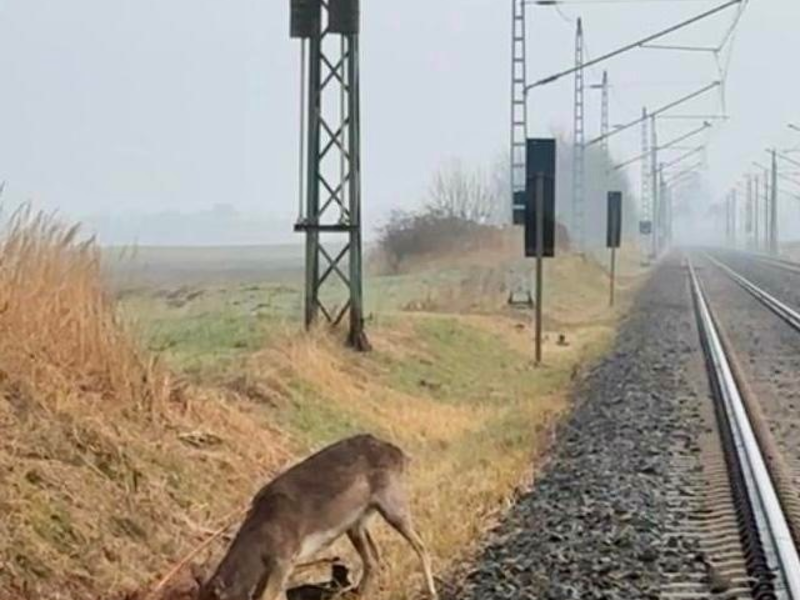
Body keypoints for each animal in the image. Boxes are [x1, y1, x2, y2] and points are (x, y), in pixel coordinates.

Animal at [198, 434, 438, 600]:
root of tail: (401, 455)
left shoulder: (284, 560)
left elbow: (267, 597)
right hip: (358, 521)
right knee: (374, 558)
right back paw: (357, 593)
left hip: (393, 503)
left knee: (420, 545)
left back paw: (431, 591)